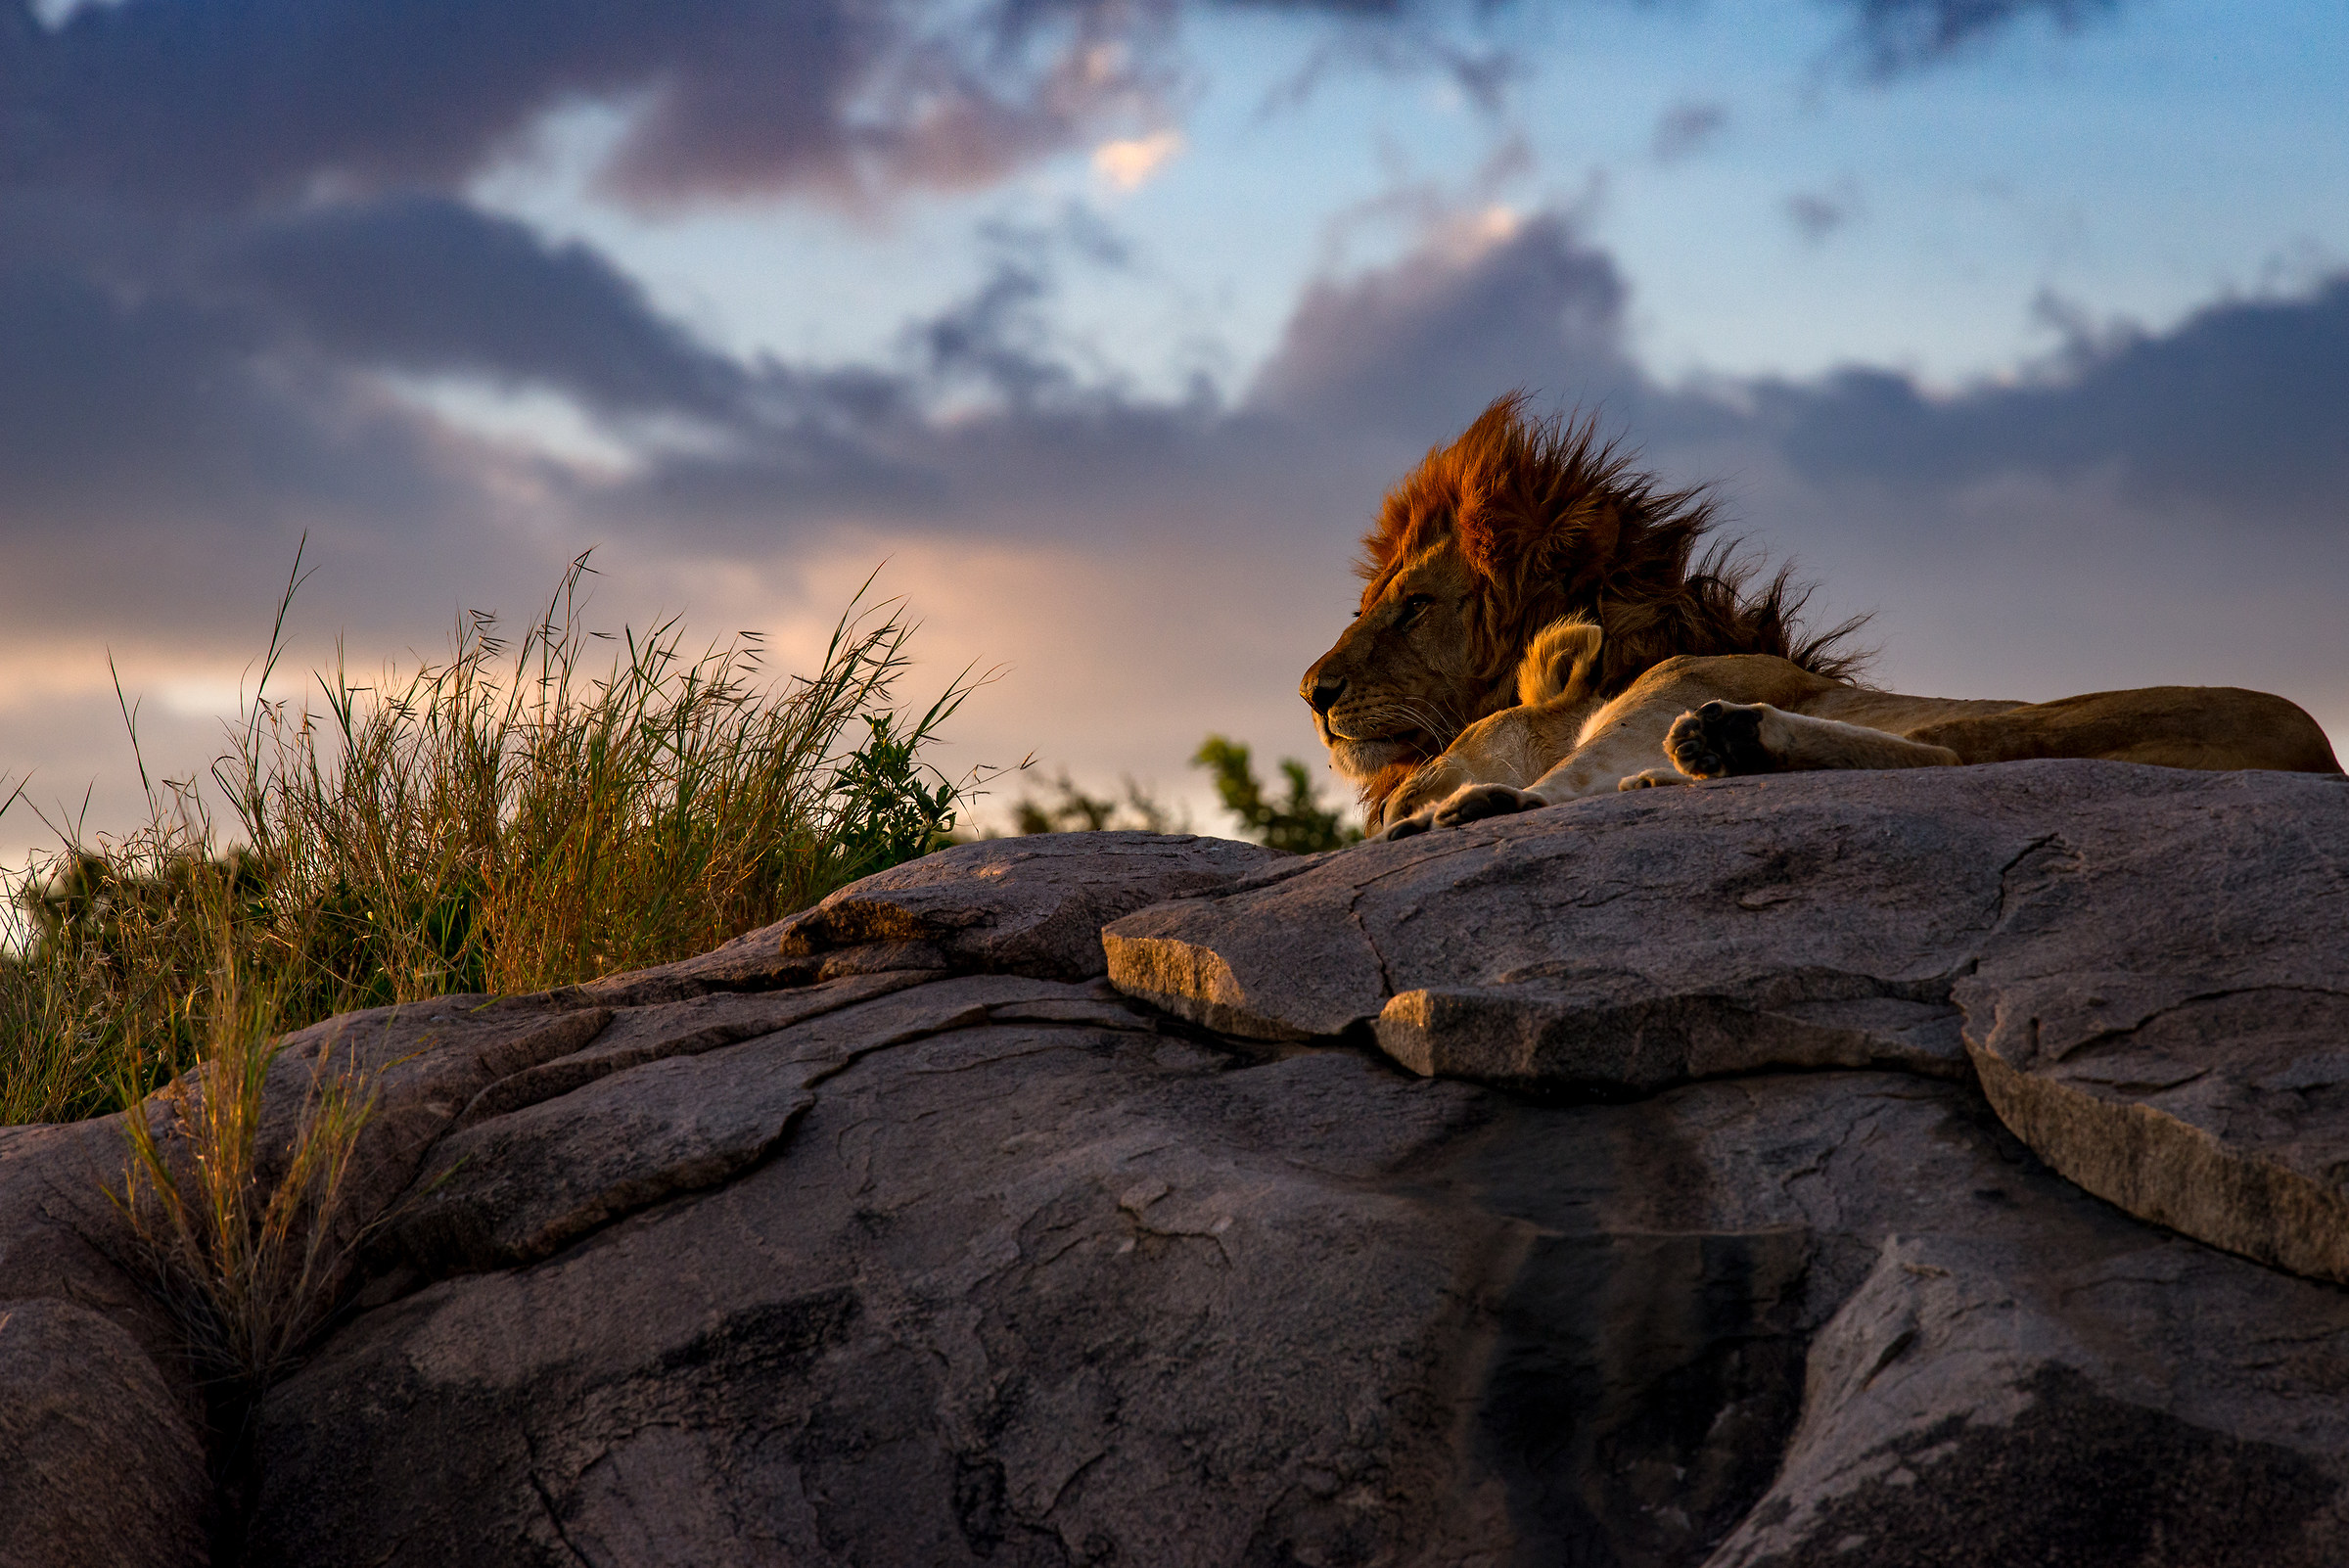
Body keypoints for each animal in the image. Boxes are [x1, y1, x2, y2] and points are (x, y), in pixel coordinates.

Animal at [1300, 395, 2342, 837]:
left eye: (1413, 606)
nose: (1312, 692)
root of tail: (2323, 756)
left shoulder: (1656, 697)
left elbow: (1566, 779)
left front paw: (1486, 799)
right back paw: (1703, 762)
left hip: (2049, 715)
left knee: (1948, 757)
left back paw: (1720, 747)